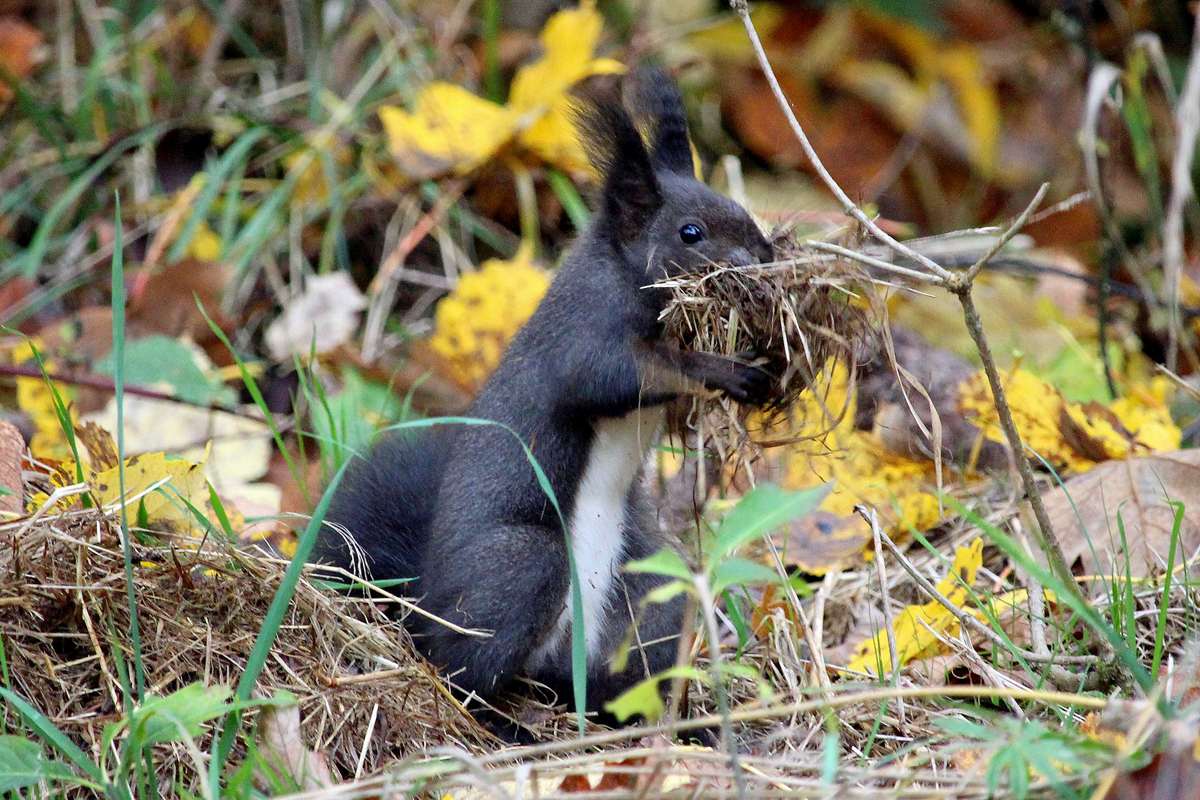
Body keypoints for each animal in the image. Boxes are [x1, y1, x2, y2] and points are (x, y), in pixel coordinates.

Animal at [314, 68, 772, 719]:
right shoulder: (584, 334)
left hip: (649, 592)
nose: (762, 258)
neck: (623, 274)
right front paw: (726, 368)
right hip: (523, 567)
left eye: (742, 212)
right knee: (460, 671)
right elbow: (619, 375)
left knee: (622, 671)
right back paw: (504, 724)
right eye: (692, 234)